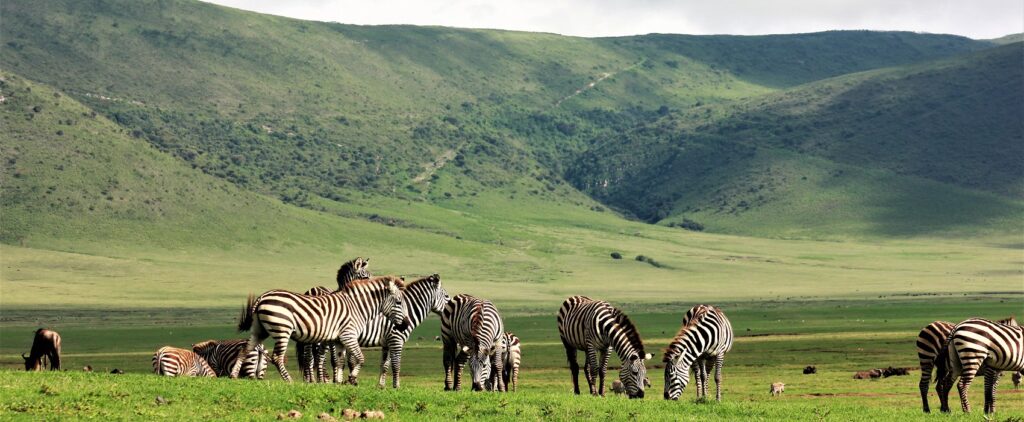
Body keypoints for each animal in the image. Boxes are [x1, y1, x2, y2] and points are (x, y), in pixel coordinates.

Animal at [229, 276, 407, 383]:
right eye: (399, 302)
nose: (405, 324)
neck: (356, 307)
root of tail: (262, 297)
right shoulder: (348, 335)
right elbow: (360, 358)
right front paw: (351, 378)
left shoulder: (338, 339)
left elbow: (339, 361)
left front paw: (339, 382)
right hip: (282, 330)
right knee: (277, 357)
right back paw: (289, 381)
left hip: (259, 330)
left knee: (245, 350)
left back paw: (233, 375)